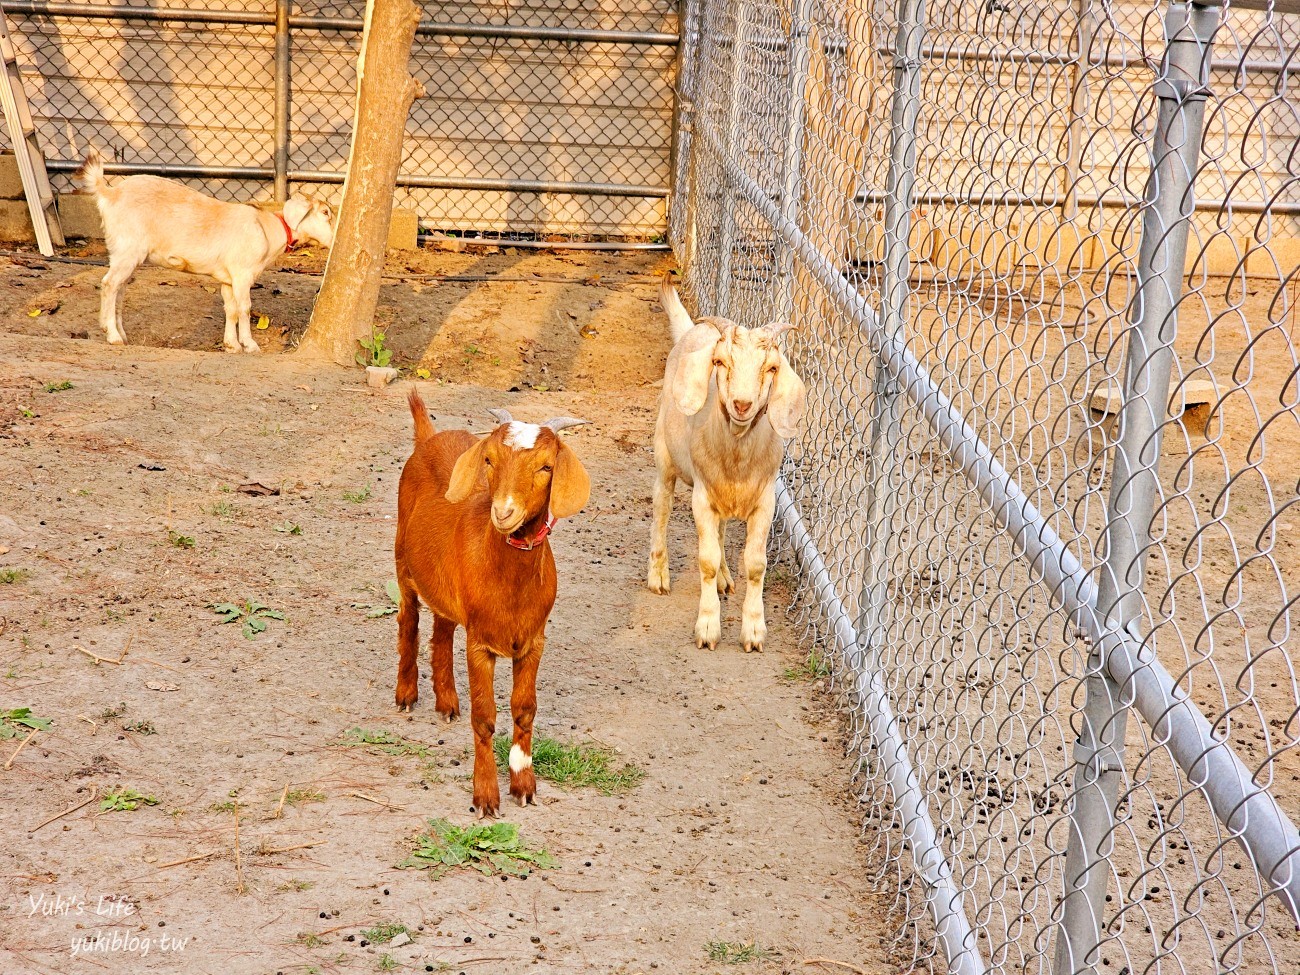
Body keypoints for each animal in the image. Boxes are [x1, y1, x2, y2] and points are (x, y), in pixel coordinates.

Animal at [73, 146, 332, 353]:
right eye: (325, 212)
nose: (332, 236)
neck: (268, 228)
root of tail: (110, 193)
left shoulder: (228, 279)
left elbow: (230, 309)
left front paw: (231, 345)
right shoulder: (242, 274)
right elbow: (245, 308)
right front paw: (249, 345)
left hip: (126, 254)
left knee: (120, 289)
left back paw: (121, 334)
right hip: (127, 248)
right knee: (108, 284)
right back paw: (112, 335)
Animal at [387, 390, 587, 816]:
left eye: (547, 466)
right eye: (490, 459)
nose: (504, 511)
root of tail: (429, 437)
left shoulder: (533, 641)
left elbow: (524, 709)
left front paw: (524, 785)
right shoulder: (480, 643)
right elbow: (484, 717)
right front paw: (485, 797)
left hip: (444, 584)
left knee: (442, 629)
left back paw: (446, 701)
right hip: (402, 561)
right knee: (408, 620)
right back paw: (406, 694)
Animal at [647, 278, 806, 652]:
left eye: (772, 368)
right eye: (720, 362)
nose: (742, 404)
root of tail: (690, 330)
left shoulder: (765, 501)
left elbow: (756, 564)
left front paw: (754, 631)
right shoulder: (702, 498)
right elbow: (705, 560)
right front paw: (707, 628)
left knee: (719, 535)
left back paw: (724, 580)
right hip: (665, 457)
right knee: (661, 507)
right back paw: (658, 575)